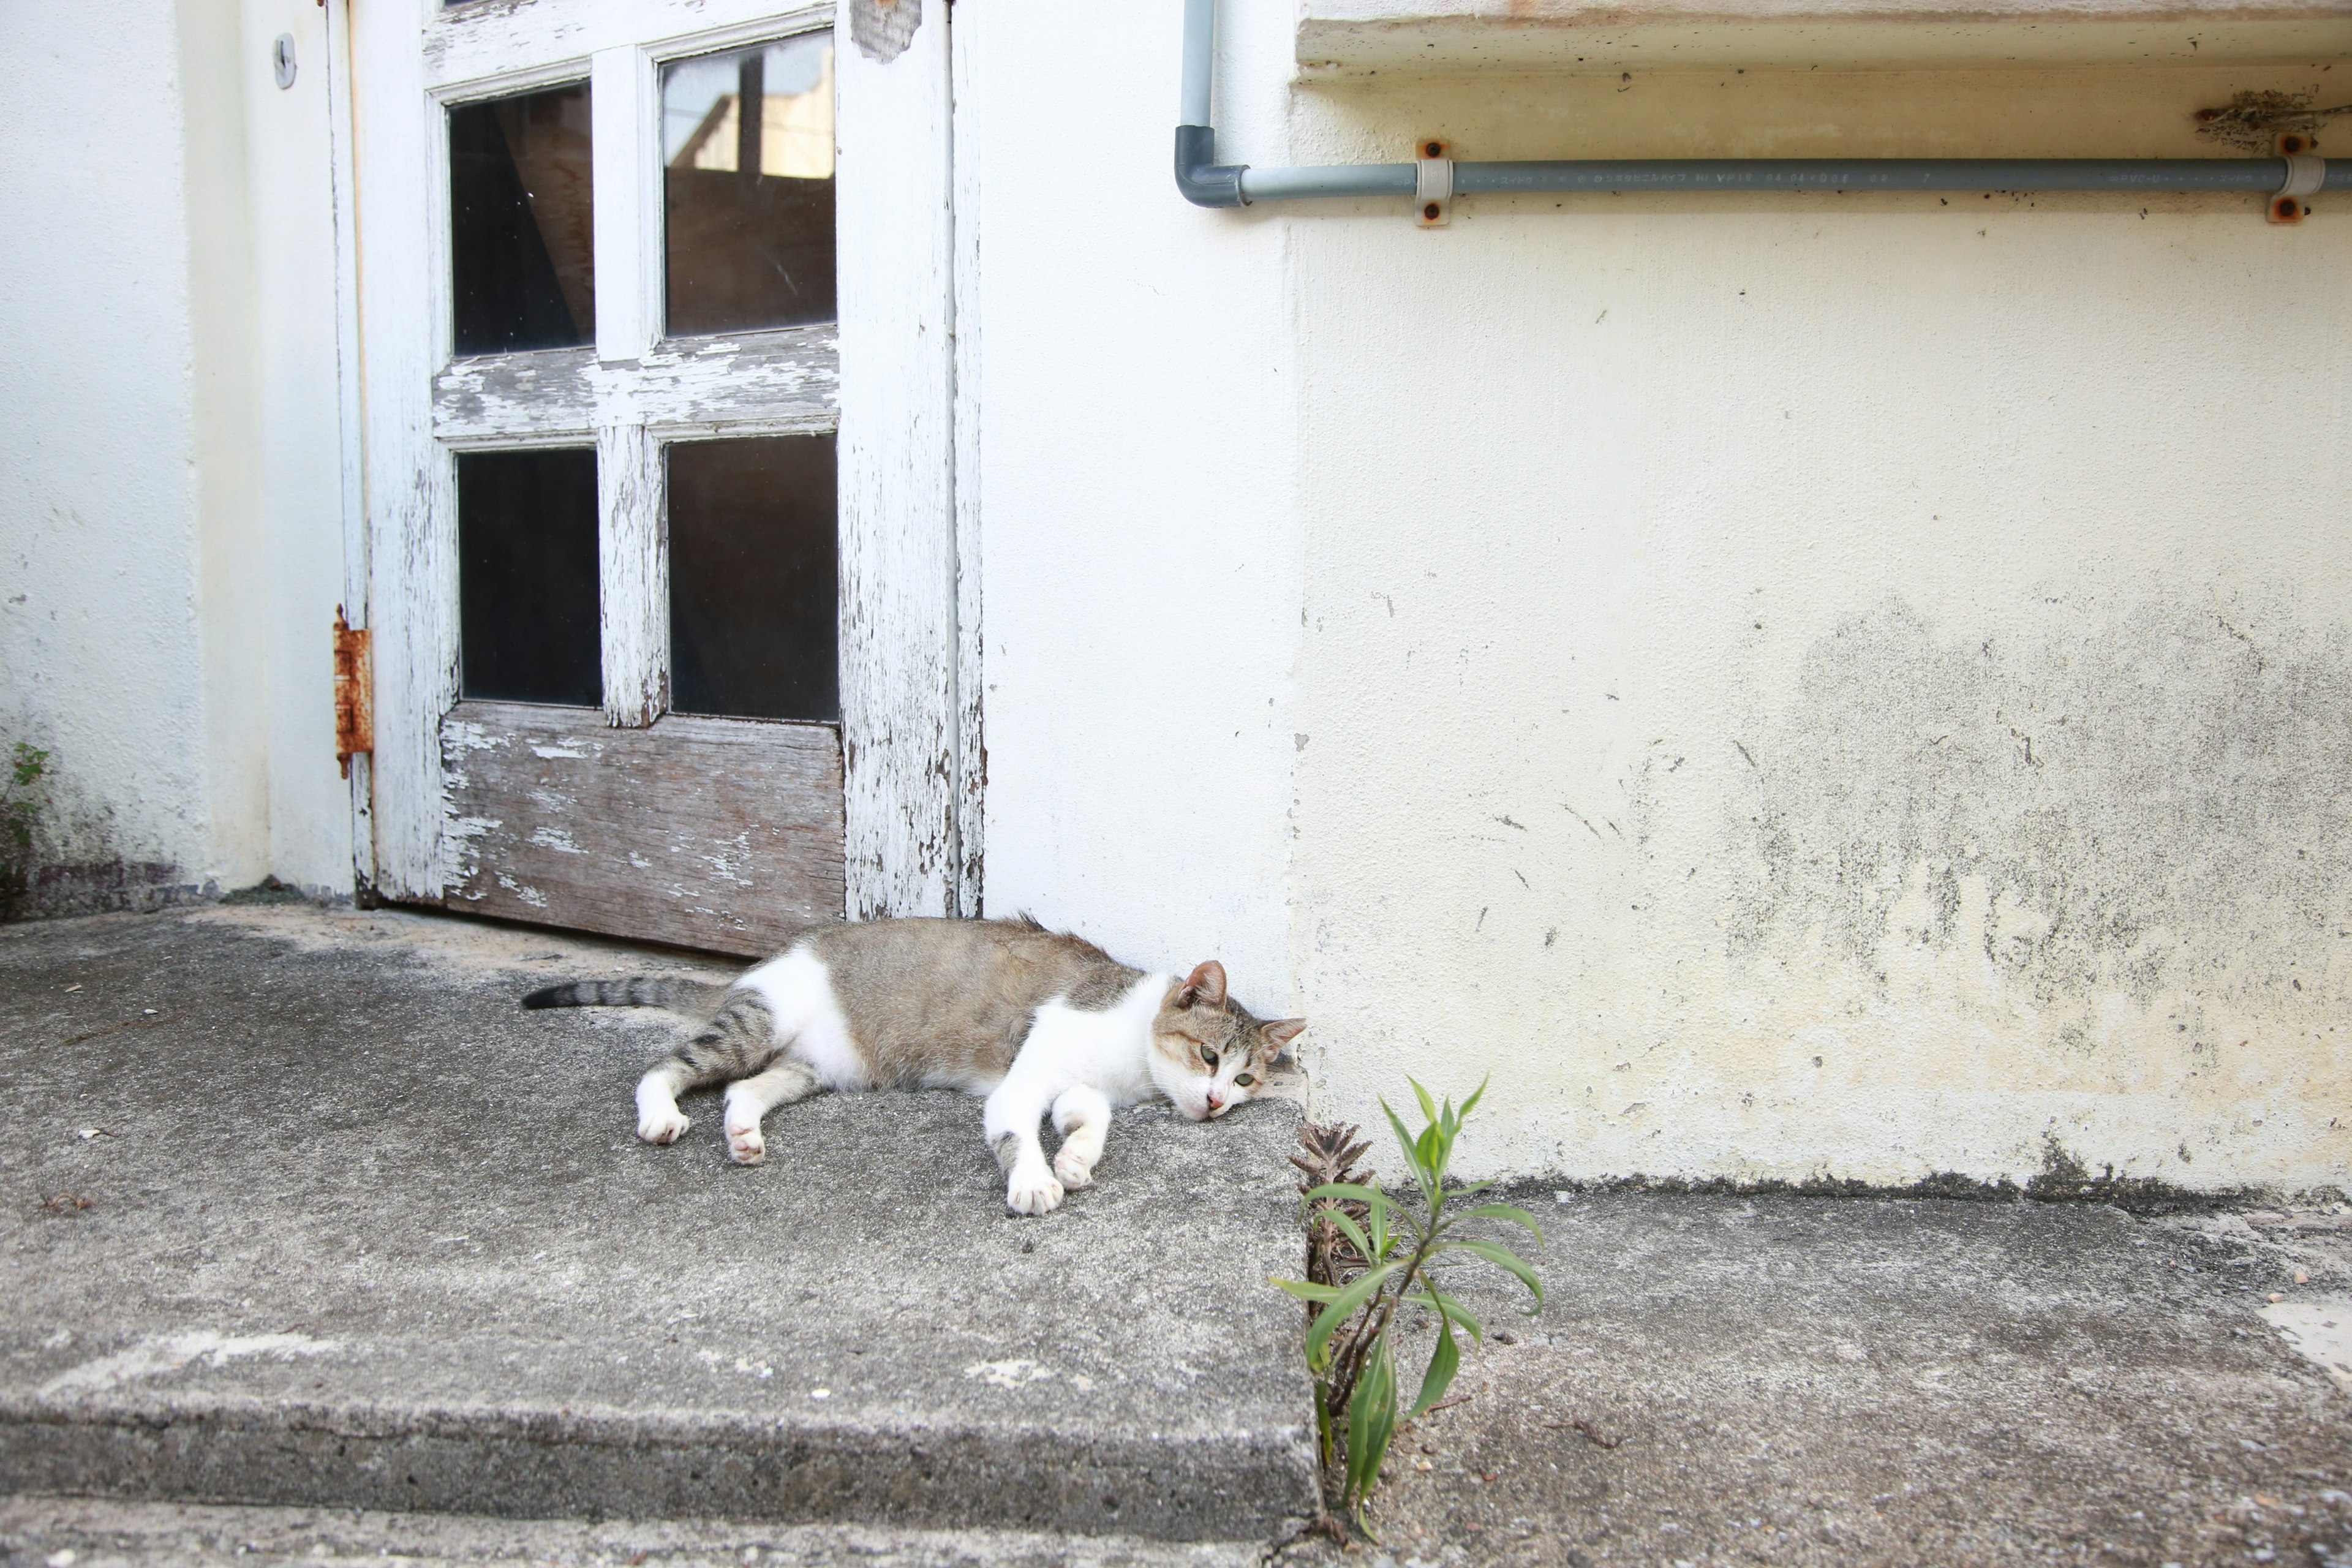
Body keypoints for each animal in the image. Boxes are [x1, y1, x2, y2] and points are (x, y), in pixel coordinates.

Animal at [517, 912, 1317, 1222]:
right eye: (1209, 1055)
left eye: (1246, 1079)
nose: (1216, 1102)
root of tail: (757, 968)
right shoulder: (1026, 1076)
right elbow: (1018, 1131)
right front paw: (1035, 1180)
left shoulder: (1076, 1087)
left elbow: (1086, 1118)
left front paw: (1077, 1159)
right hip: (755, 1026)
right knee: (666, 1068)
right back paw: (661, 1113)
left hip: (810, 1067)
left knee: (744, 1088)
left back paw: (744, 1136)